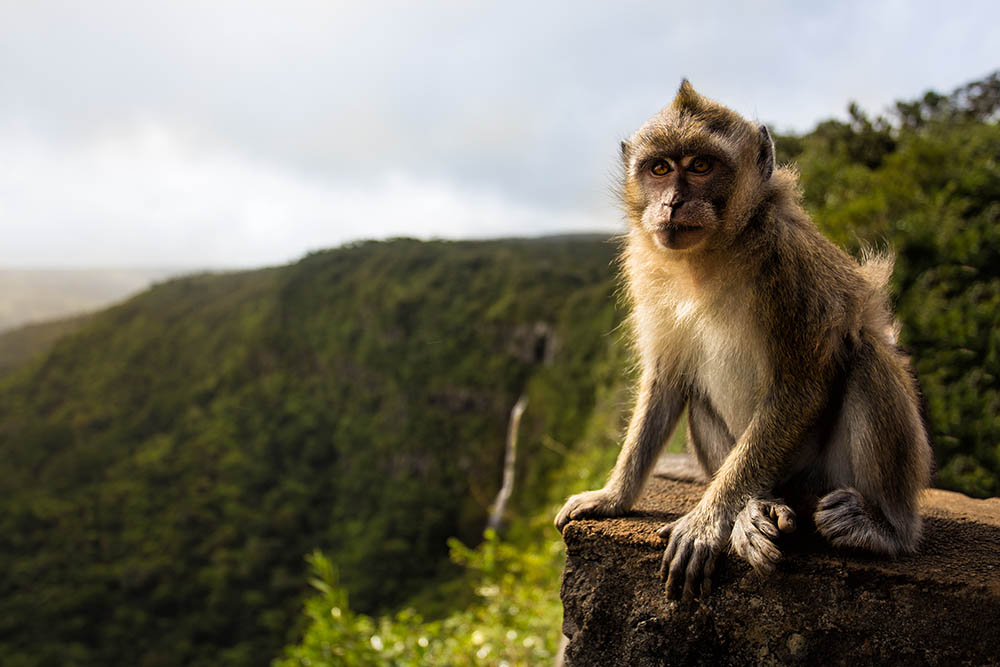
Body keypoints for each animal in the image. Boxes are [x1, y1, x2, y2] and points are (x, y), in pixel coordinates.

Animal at [556, 81, 928, 604]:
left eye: (701, 166)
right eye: (659, 169)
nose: (671, 203)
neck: (710, 255)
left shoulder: (789, 265)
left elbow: (802, 385)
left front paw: (706, 521)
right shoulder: (646, 271)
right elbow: (667, 381)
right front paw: (612, 497)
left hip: (829, 476)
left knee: (867, 357)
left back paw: (884, 529)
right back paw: (757, 509)